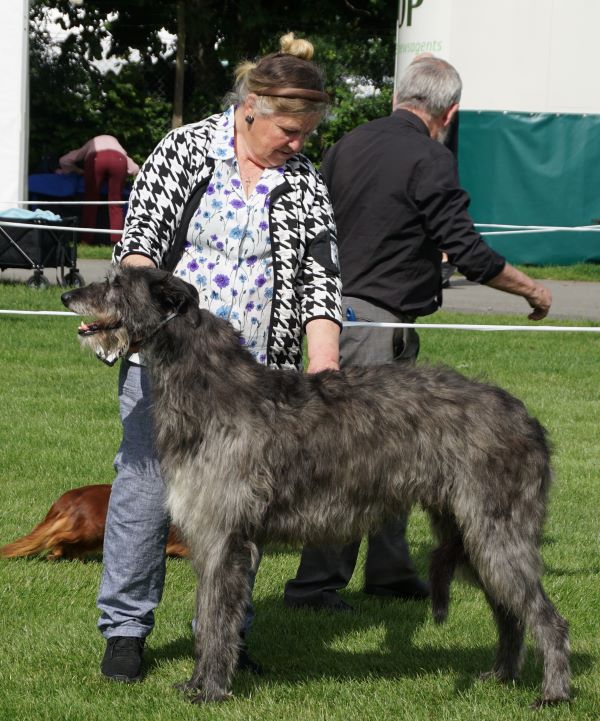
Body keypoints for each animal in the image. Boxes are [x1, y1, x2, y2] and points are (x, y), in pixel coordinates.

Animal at [62, 268, 572, 704]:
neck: (209, 386)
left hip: (496, 531)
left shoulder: (224, 538)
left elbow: (217, 620)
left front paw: (212, 690)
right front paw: (197, 683)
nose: (68, 295)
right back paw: (502, 675)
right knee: (509, 613)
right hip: (469, 533)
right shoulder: (209, 539)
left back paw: (553, 692)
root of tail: (527, 417)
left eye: (115, 283)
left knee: (547, 618)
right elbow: (208, 618)